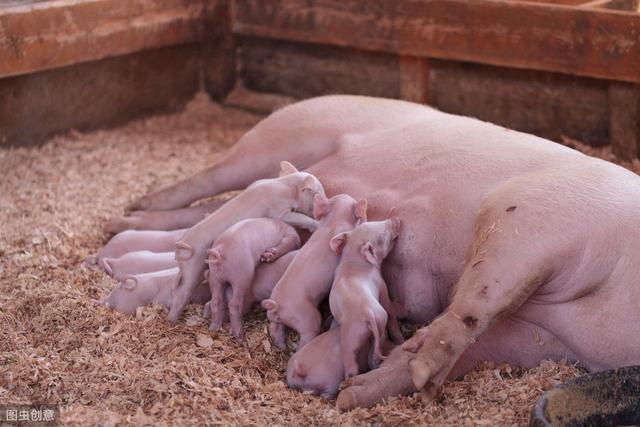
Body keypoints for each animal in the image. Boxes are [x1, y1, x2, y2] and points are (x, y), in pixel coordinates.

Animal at [262, 194, 368, 352]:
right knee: (306, 335)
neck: (334, 220)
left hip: (274, 317)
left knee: (275, 328)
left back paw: (283, 347)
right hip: (307, 318)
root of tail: (277, 305)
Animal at [330, 219, 404, 380]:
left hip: (359, 332)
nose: (396, 219)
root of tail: (367, 312)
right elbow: (389, 307)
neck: (353, 261)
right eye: (383, 235)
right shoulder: (382, 286)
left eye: (373, 221)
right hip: (366, 329)